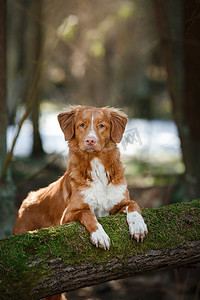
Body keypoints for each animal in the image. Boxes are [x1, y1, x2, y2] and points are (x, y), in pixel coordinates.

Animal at [13, 105, 148, 300]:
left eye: (101, 125)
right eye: (82, 124)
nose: (90, 140)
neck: (97, 166)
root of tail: (26, 200)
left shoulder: (118, 204)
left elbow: (134, 204)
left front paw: (138, 227)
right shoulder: (68, 215)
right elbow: (88, 213)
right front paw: (100, 235)